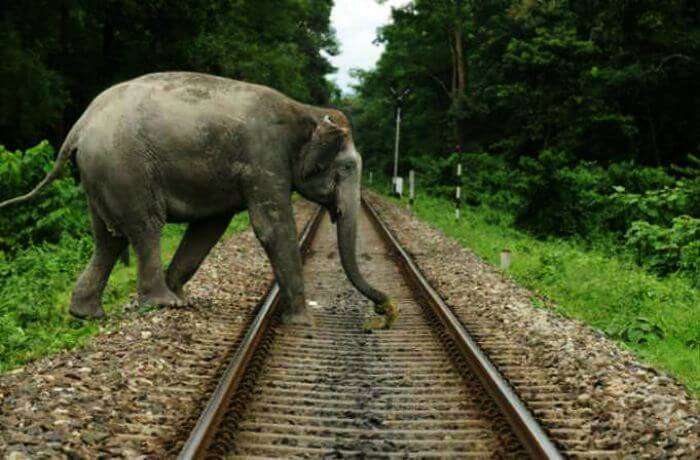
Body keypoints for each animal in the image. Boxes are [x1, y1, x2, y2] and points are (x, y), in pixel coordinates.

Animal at [0, 71, 396, 328]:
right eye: (347, 166)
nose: (386, 309)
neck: (306, 111)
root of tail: (79, 126)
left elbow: (210, 226)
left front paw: (184, 292)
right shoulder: (264, 159)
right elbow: (271, 227)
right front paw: (302, 320)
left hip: (100, 174)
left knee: (108, 239)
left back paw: (89, 314)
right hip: (124, 167)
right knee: (145, 228)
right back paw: (164, 303)